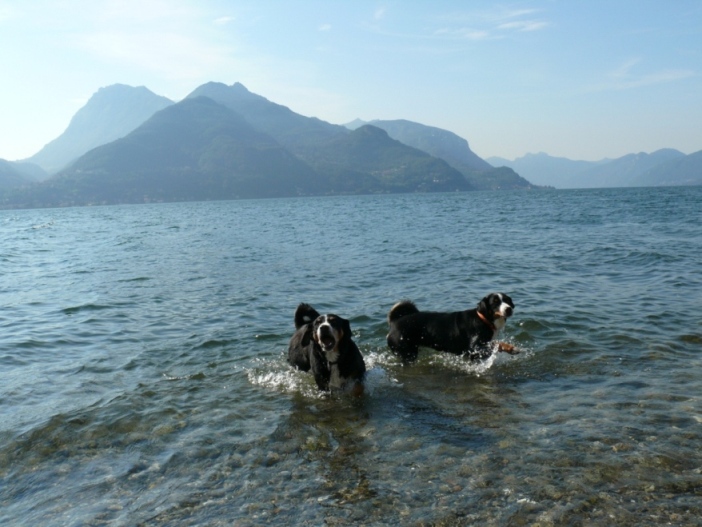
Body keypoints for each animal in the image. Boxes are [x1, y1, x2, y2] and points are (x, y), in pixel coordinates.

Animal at [384, 292, 516, 364]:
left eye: (507, 300)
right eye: (495, 302)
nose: (509, 309)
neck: (482, 320)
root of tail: (395, 322)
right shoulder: (475, 349)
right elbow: (497, 343)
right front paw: (511, 348)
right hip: (407, 353)